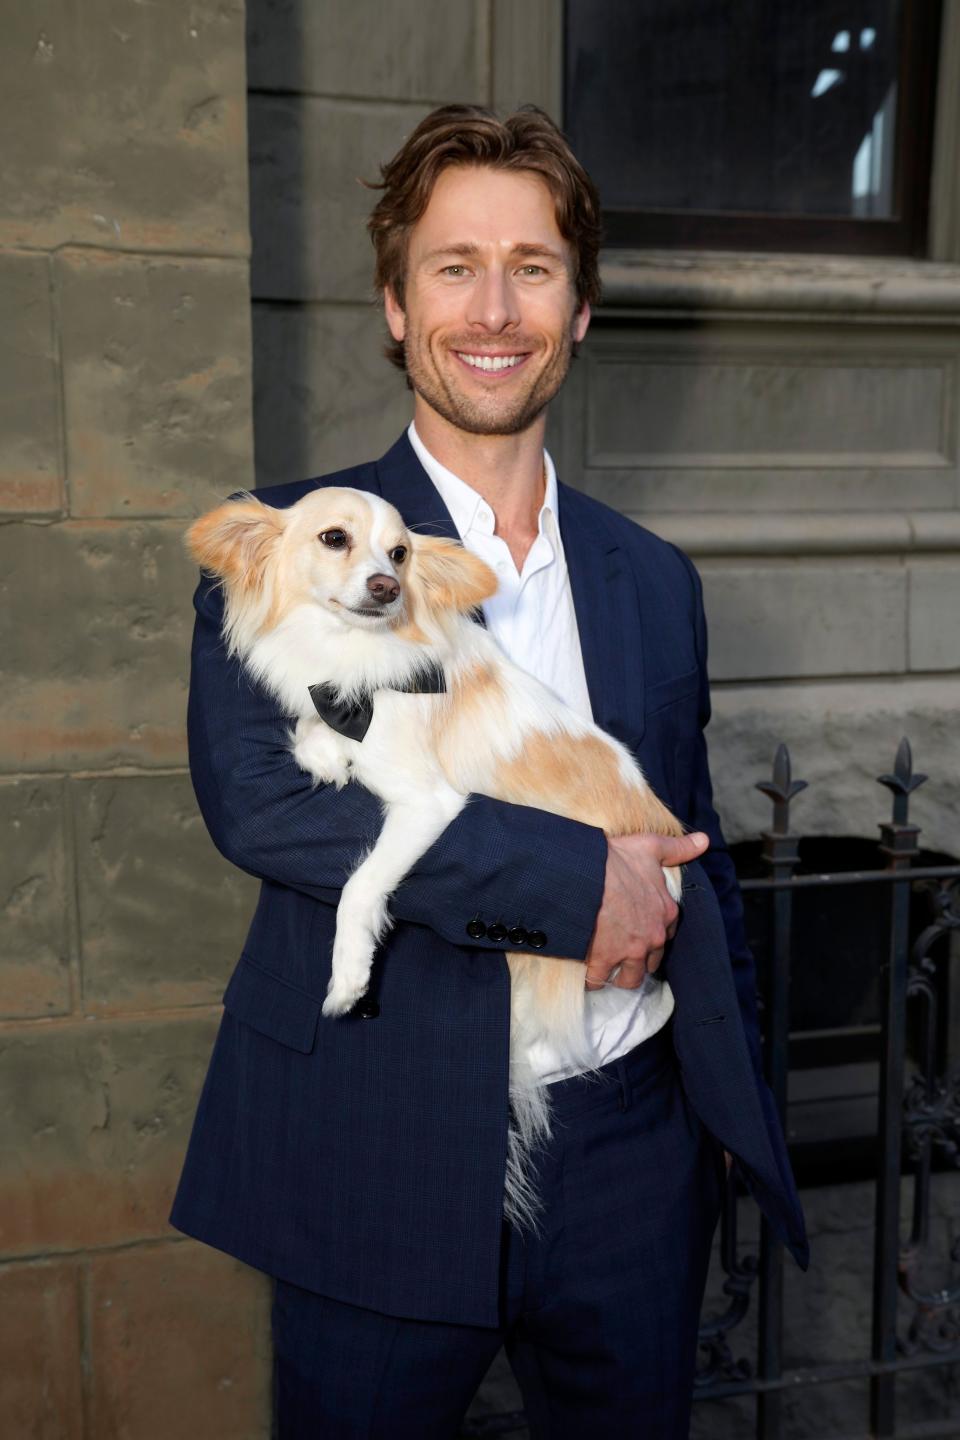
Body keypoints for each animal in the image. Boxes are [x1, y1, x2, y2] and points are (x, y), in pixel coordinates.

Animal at [187, 486, 687, 1226]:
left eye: (399, 554)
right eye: (334, 539)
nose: (386, 587)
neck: (355, 656)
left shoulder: (429, 807)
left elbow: (360, 889)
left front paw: (349, 977)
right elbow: (315, 729)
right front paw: (324, 751)